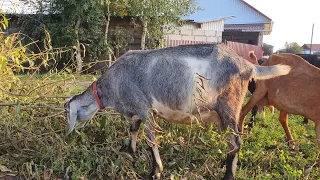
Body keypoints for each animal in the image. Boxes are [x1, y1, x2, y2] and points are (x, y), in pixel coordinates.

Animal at [64, 44, 290, 180]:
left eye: (68, 113)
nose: (68, 134)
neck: (113, 85)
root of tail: (247, 65)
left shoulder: (145, 108)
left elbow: (151, 139)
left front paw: (155, 171)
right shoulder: (136, 111)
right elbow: (133, 129)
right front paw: (130, 151)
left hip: (229, 104)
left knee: (236, 142)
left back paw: (228, 176)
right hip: (227, 112)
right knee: (232, 139)